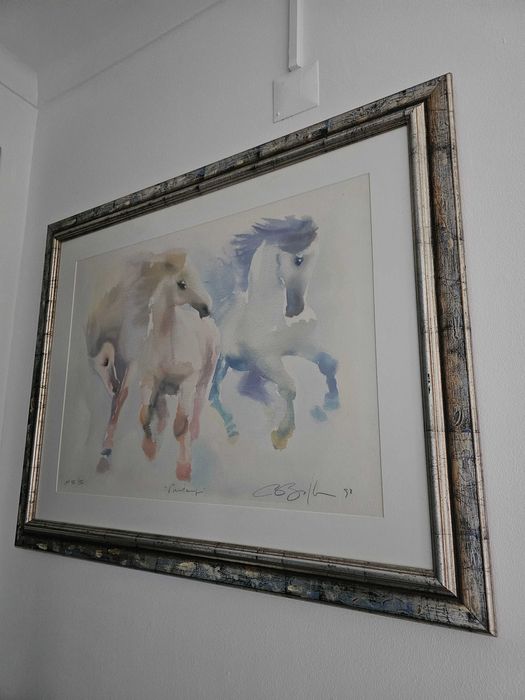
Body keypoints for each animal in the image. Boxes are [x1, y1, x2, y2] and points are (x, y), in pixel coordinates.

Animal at [135, 251, 219, 481]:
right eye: (182, 284)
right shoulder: (149, 381)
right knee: (162, 416)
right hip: (163, 390)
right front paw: (149, 449)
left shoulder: (188, 381)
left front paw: (183, 469)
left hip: (205, 378)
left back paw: (195, 433)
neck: (168, 341)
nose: (207, 309)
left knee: (198, 406)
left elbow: (181, 425)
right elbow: (145, 415)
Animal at [209, 215, 340, 450]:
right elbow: (288, 388)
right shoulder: (266, 360)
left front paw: (329, 404)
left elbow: (328, 364)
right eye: (298, 260)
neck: (272, 317)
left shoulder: (301, 346)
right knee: (214, 393)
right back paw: (233, 430)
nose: (295, 310)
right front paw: (282, 433)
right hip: (226, 361)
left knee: (247, 388)